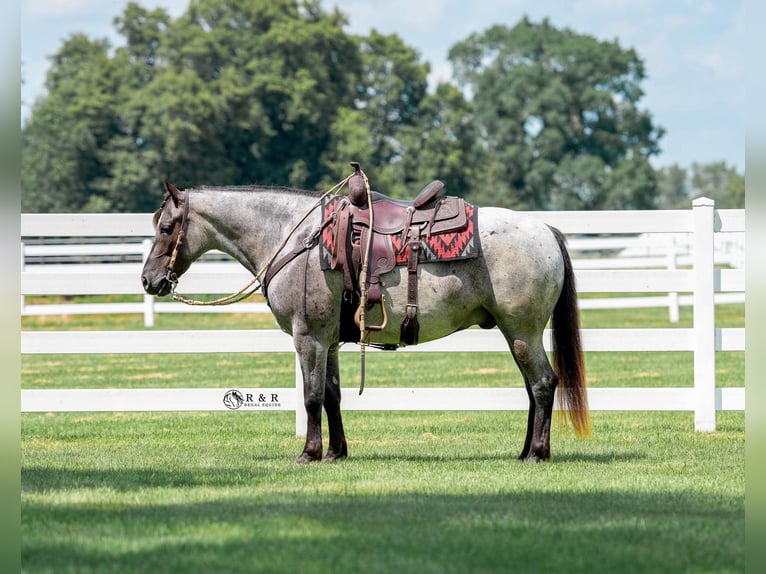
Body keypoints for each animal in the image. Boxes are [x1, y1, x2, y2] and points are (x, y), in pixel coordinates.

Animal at [141, 178, 590, 463]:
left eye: (167, 227)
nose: (149, 280)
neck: (295, 238)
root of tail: (546, 230)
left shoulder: (309, 338)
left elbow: (312, 397)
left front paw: (309, 453)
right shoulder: (329, 340)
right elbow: (333, 396)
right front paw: (336, 452)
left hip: (523, 330)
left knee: (543, 384)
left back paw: (536, 454)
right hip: (517, 333)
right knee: (533, 389)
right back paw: (525, 450)